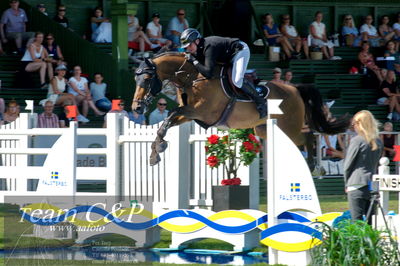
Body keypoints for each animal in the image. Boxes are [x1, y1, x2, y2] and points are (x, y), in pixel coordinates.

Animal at [132, 52, 350, 165]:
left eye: (147, 78)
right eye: (135, 78)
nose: (136, 107)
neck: (192, 77)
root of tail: (295, 89)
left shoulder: (200, 112)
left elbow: (171, 114)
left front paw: (158, 150)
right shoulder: (189, 114)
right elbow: (166, 123)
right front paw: (154, 154)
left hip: (289, 126)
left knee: (307, 137)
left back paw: (312, 166)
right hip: (264, 129)